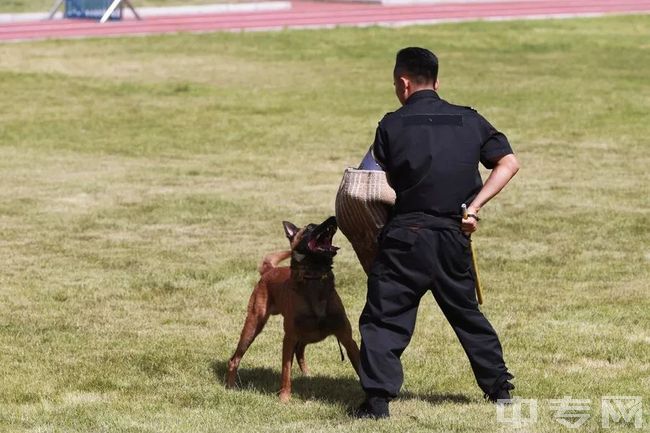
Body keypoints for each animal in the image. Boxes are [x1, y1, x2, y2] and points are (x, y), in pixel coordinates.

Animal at [227, 216, 360, 402]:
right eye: (310, 228)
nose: (333, 219)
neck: (314, 277)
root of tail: (269, 271)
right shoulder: (289, 338)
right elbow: (286, 371)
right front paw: (284, 398)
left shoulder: (347, 339)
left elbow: (361, 367)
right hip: (253, 326)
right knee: (234, 359)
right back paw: (230, 386)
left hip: (312, 335)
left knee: (300, 350)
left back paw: (307, 375)